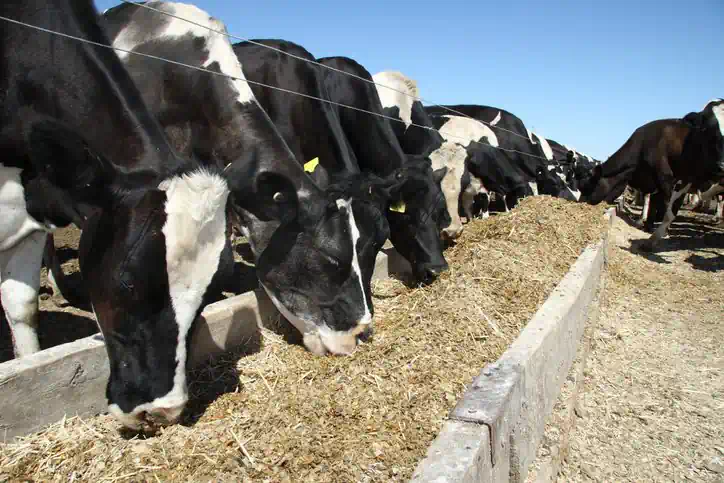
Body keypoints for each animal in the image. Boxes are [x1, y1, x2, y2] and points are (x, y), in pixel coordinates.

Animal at [579, 100, 724, 248]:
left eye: (588, 186)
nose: (582, 203)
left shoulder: (672, 180)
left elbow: (668, 210)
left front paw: (657, 235)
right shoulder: (656, 182)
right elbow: (653, 203)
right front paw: (647, 225)